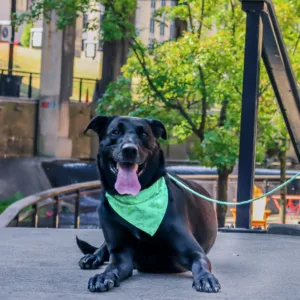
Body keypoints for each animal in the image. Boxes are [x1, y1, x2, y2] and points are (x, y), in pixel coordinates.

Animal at [76, 116, 219, 292]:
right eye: (115, 132)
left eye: (144, 134)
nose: (129, 150)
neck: (135, 200)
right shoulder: (121, 254)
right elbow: (111, 266)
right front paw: (102, 277)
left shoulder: (193, 251)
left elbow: (200, 263)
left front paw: (206, 278)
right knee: (103, 247)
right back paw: (92, 257)